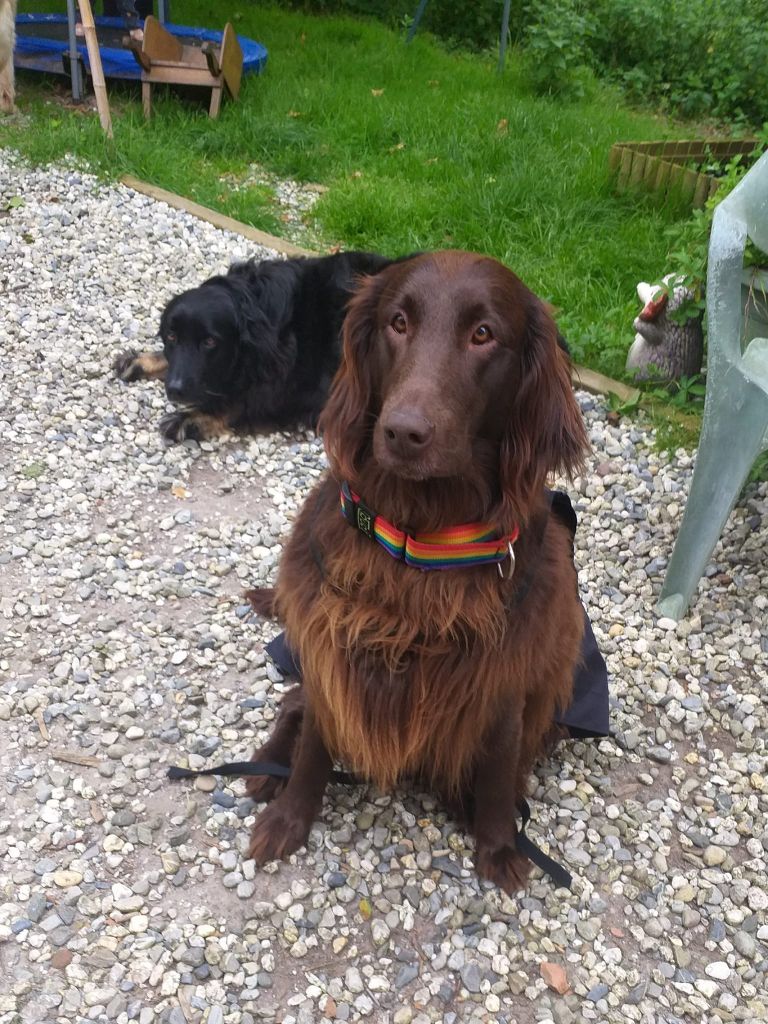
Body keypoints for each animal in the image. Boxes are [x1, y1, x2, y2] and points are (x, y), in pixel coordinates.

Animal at [114, 251, 397, 440]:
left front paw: (191, 418)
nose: (175, 389)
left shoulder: (306, 392)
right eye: (172, 337)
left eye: (209, 342)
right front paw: (142, 360)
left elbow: (242, 403)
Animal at [246, 249, 589, 897]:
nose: (403, 432)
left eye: (484, 334)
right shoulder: (333, 647)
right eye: (398, 323)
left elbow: (499, 769)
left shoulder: (504, 679)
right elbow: (314, 745)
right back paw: (265, 766)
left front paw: (498, 844)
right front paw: (288, 819)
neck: (422, 539)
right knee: (294, 704)